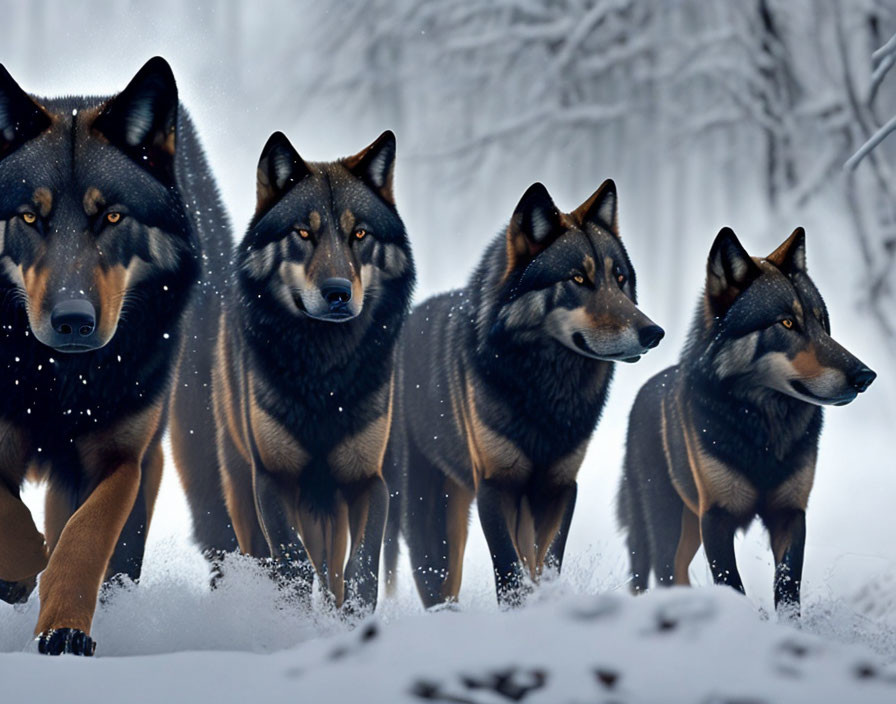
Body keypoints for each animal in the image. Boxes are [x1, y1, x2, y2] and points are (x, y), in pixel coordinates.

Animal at [0, 56, 231, 656]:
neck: (59, 378)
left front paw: (64, 630)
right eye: (30, 218)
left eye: (111, 218)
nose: (73, 320)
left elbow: (85, 539)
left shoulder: (121, 458)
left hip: (195, 444)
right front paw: (20, 573)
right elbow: (14, 515)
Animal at [196, 129, 412, 612]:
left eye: (359, 233)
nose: (337, 293)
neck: (324, 373)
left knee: (333, 570)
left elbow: (362, 569)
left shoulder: (368, 482)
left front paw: (348, 620)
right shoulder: (273, 481)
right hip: (244, 490)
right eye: (303, 232)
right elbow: (292, 564)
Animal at [384, 180, 664, 604]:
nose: (654, 333)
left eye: (619, 279)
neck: (546, 390)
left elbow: (543, 568)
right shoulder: (496, 487)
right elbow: (510, 576)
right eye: (578, 279)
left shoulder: (558, 489)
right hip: (434, 523)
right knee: (438, 590)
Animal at [616, 227, 876, 616]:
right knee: (661, 575)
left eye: (822, 323)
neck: (763, 428)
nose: (866, 376)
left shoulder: (790, 514)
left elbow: (787, 590)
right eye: (787, 322)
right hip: (665, 525)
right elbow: (732, 585)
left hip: (688, 528)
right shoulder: (716, 517)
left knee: (678, 575)